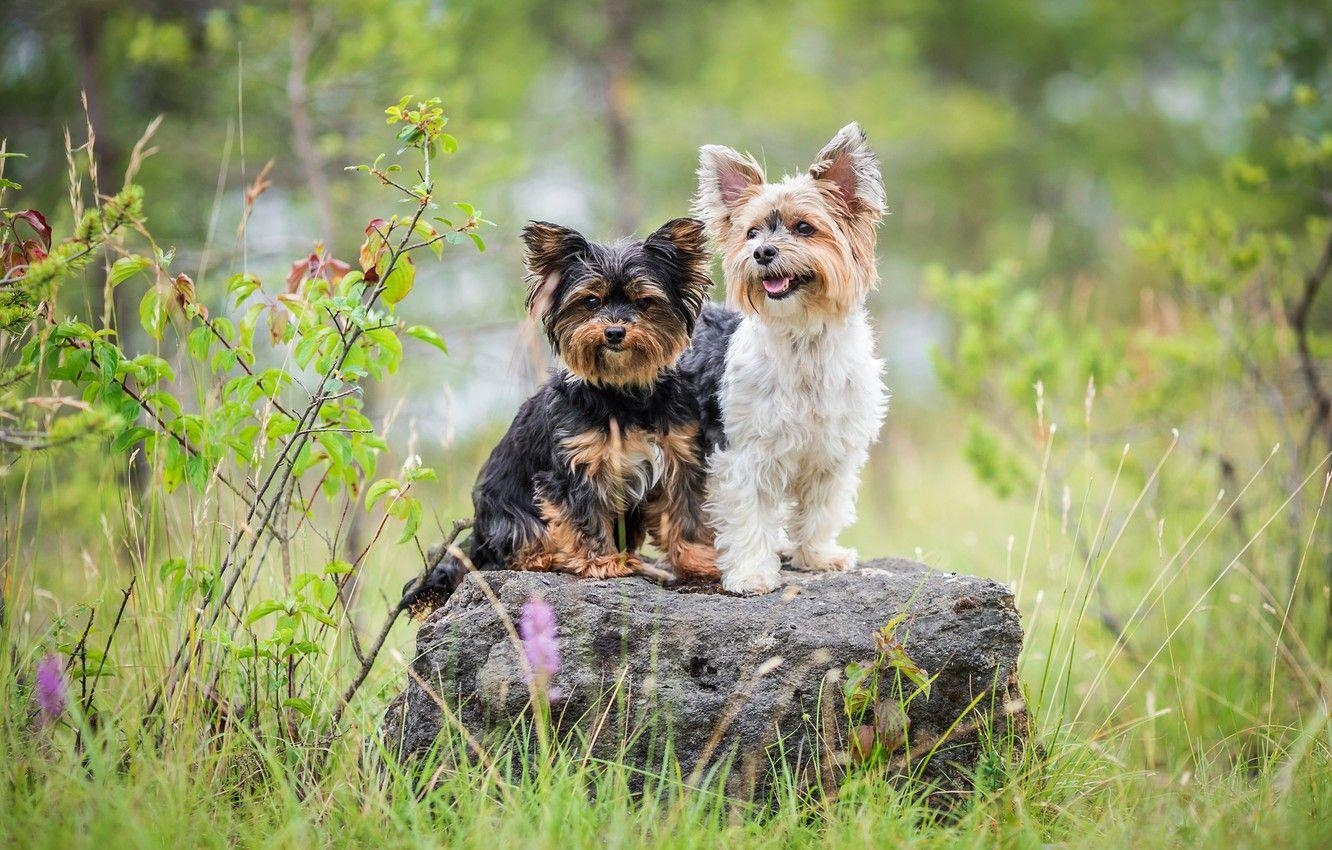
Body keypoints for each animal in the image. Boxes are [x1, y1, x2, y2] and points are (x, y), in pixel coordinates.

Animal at [412, 215, 719, 610]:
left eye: (644, 302)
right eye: (590, 301)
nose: (614, 331)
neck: (623, 395)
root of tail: (478, 537)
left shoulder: (677, 456)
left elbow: (684, 512)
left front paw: (697, 560)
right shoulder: (576, 468)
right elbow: (583, 515)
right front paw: (601, 563)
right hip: (508, 516)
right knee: (517, 547)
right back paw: (552, 557)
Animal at [681, 123, 889, 596]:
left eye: (804, 228)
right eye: (751, 233)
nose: (762, 253)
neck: (803, 337)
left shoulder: (833, 454)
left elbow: (820, 509)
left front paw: (817, 556)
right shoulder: (744, 453)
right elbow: (749, 515)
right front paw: (752, 574)